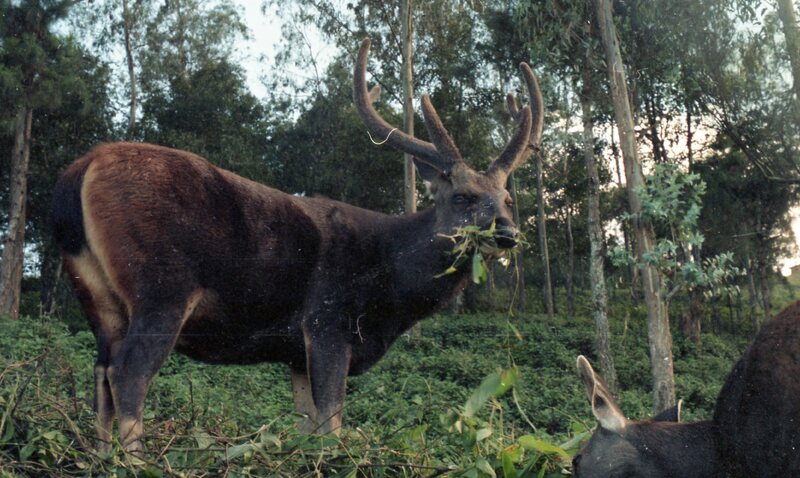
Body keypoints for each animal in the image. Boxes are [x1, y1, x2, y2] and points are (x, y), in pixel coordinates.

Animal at [50, 38, 544, 453]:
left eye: (507, 198)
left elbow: (308, 424)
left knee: (101, 375)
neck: (388, 287)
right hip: (162, 285)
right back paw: (136, 460)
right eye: (462, 196)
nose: (508, 232)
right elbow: (332, 423)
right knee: (128, 375)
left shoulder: (294, 354)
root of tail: (81, 169)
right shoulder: (328, 321)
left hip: (96, 296)